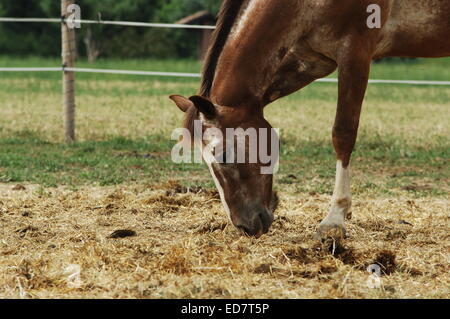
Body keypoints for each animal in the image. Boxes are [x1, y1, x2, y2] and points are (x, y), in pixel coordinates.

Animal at [170, 0, 450, 240]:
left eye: (224, 155)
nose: (245, 226)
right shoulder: (311, 59)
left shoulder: (355, 53)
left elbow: (343, 133)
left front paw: (334, 219)